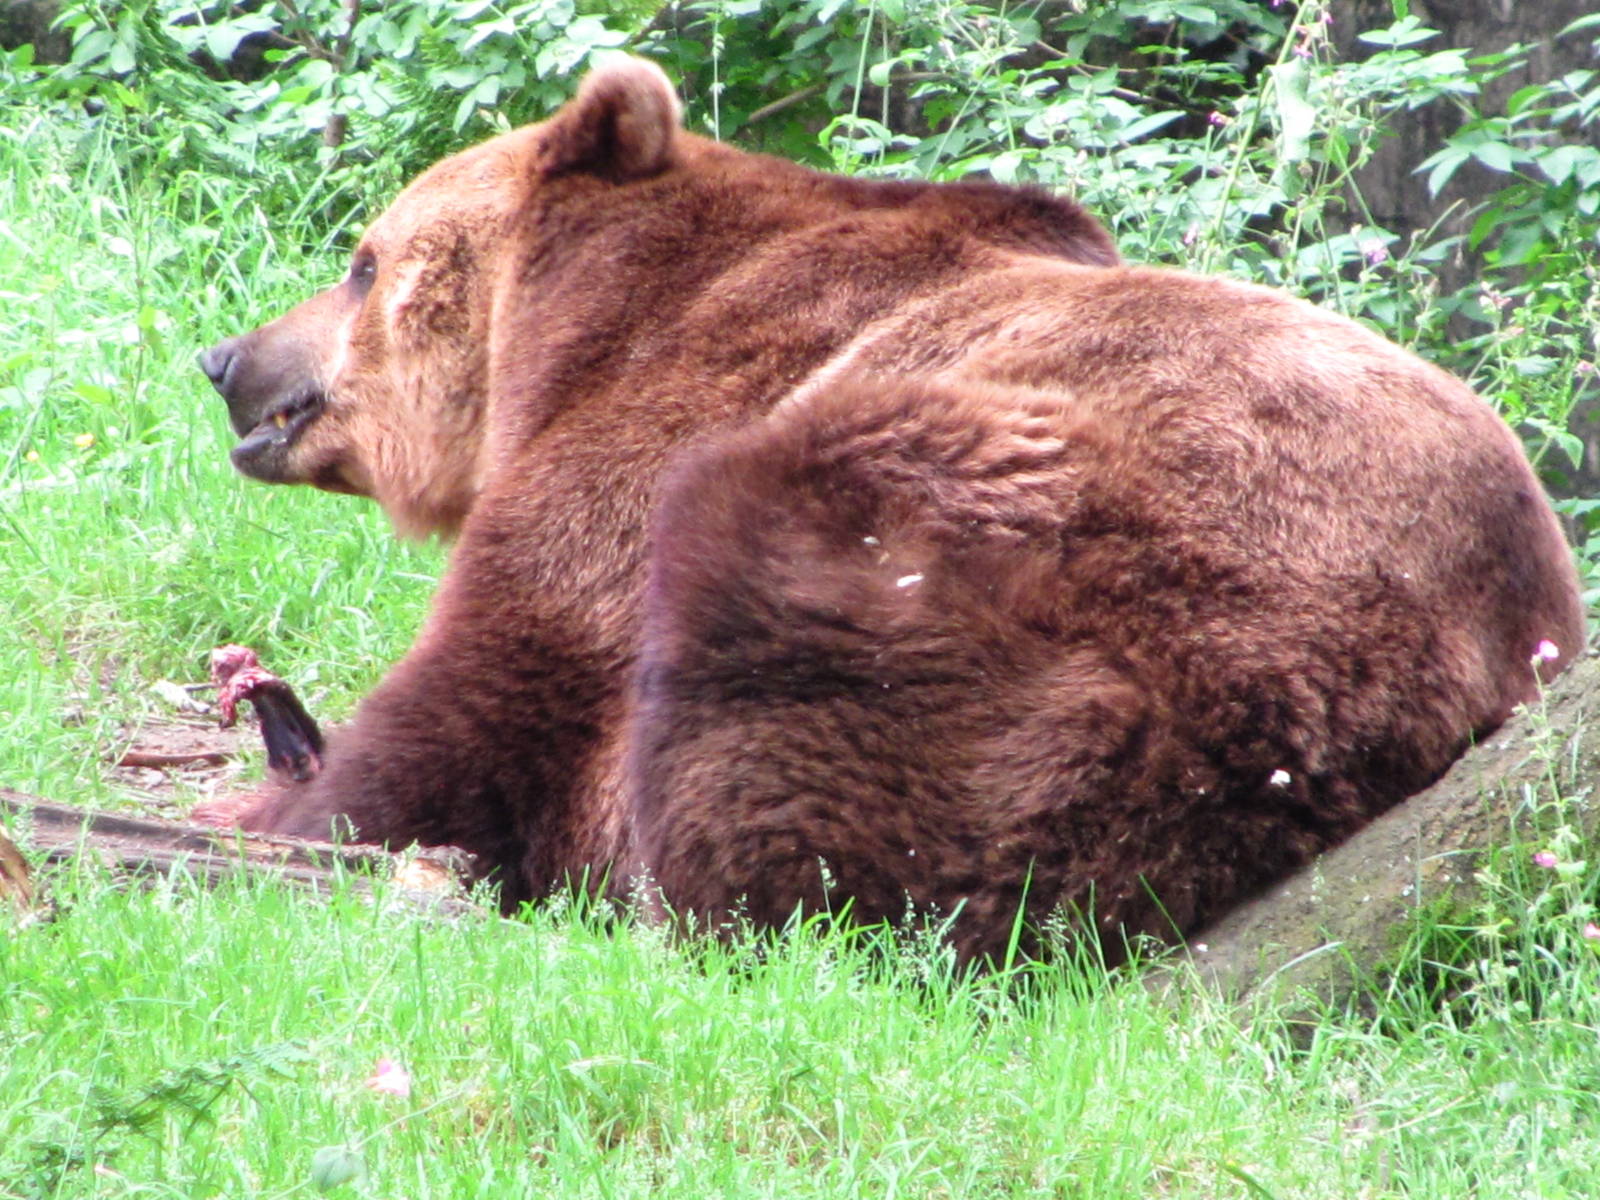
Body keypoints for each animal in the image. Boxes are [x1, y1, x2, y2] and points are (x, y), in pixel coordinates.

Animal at [197, 55, 1584, 963]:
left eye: (363, 260)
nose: (228, 359)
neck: (567, 338)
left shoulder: (660, 430)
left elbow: (480, 701)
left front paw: (265, 812)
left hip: (1051, 572)